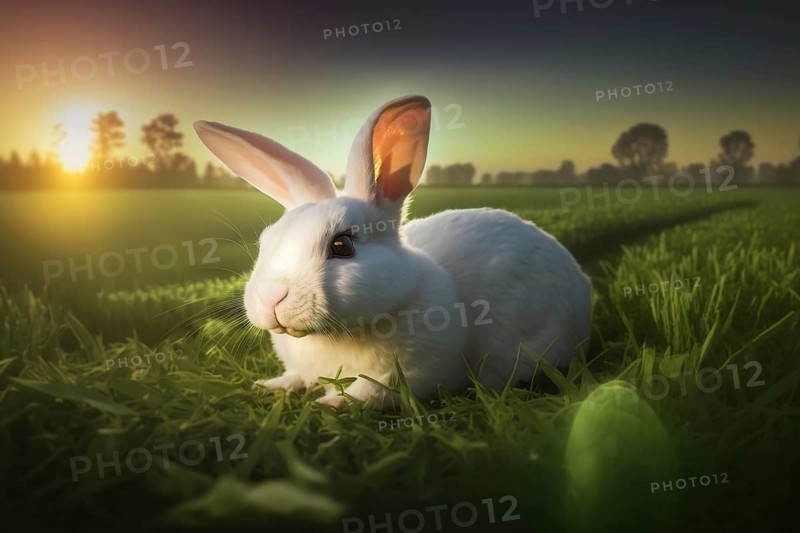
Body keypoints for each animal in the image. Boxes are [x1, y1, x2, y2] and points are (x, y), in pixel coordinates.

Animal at [194, 95, 591, 410]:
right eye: (266, 242)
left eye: (342, 245)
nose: (271, 300)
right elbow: (296, 376)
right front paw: (270, 386)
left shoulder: (415, 372)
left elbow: (370, 390)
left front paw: (329, 404)